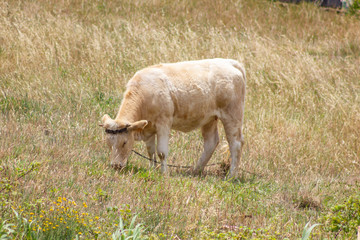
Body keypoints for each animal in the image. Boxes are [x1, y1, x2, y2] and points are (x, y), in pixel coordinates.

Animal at [101, 58, 248, 178]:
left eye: (124, 143)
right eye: (108, 144)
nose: (116, 166)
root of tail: (229, 62)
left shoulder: (163, 123)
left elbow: (161, 152)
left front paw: (164, 173)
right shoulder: (148, 127)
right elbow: (150, 151)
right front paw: (152, 170)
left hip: (232, 115)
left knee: (236, 143)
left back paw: (231, 175)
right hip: (209, 118)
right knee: (211, 143)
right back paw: (195, 171)